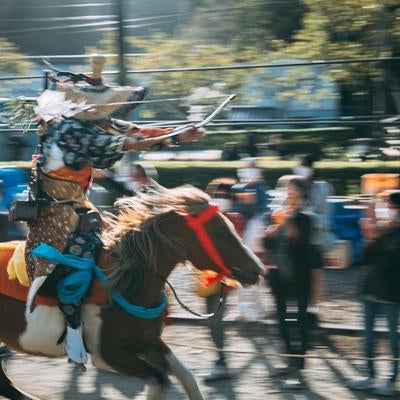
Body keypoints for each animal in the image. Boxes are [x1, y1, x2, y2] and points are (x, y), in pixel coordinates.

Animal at [0, 187, 266, 400]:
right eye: (219, 232)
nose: (257, 269)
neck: (126, 282)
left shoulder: (147, 342)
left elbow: (185, 376)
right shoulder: (109, 354)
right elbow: (159, 379)